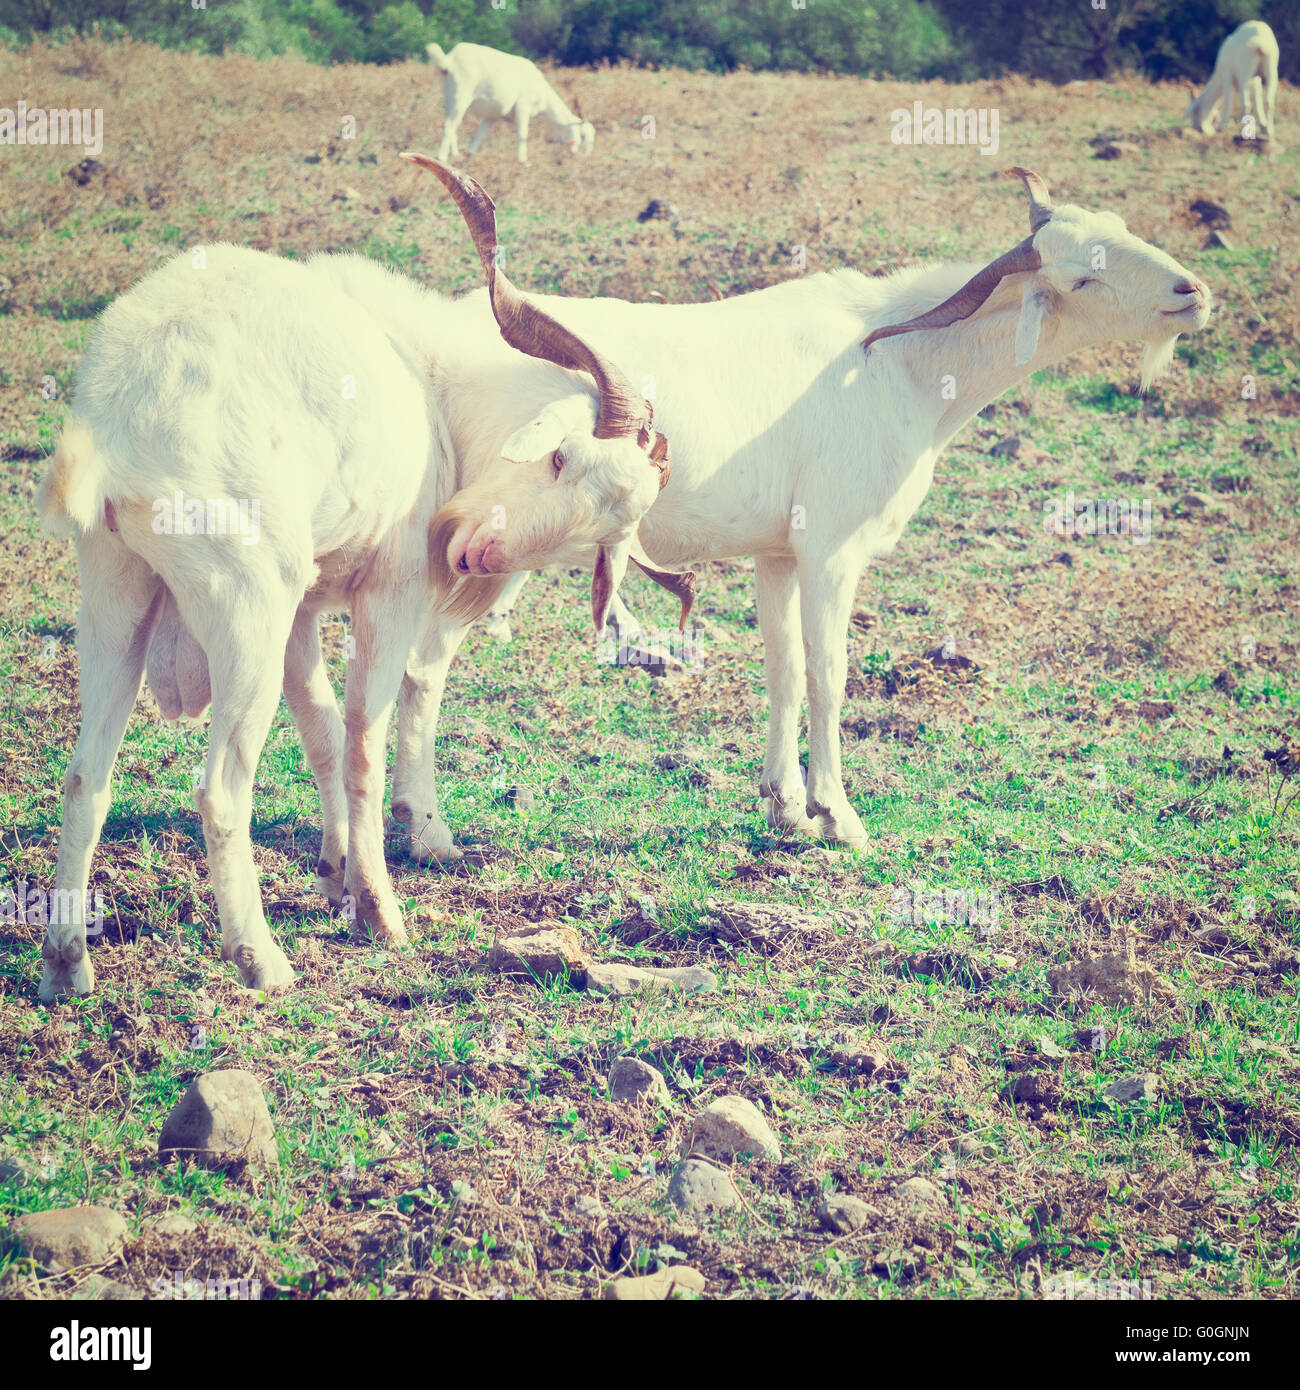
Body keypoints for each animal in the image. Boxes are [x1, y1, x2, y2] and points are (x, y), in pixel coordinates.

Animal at [35, 239, 675, 1000]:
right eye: (559, 456)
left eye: (594, 537)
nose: (479, 552)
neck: (431, 388)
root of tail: (121, 420)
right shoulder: (387, 592)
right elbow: (364, 743)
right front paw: (378, 912)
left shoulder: (303, 608)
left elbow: (323, 732)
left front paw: (335, 873)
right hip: (246, 605)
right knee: (219, 790)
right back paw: (260, 960)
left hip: (115, 598)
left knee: (85, 779)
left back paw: (66, 965)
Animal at [403, 157, 1212, 856]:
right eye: (1083, 276)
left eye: (1122, 227)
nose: (1191, 294)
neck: (894, 364)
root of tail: (434, 348)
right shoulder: (832, 550)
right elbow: (831, 671)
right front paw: (838, 815)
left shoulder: (779, 554)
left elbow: (785, 669)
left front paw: (786, 807)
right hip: (493, 543)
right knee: (423, 668)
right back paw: (428, 832)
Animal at [428, 41, 595, 162]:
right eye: (583, 135)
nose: (585, 156)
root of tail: (450, 59)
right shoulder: (523, 107)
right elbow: (523, 134)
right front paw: (523, 161)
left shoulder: (492, 116)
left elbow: (481, 134)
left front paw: (470, 155)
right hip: (461, 96)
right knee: (450, 124)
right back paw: (441, 157)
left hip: (448, 96)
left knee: (452, 125)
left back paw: (455, 155)